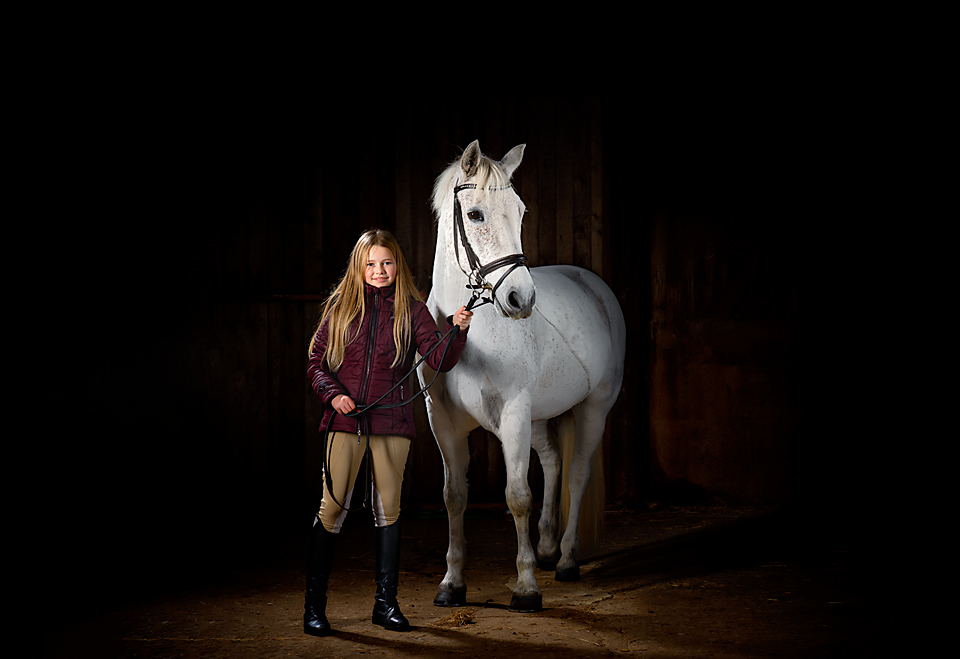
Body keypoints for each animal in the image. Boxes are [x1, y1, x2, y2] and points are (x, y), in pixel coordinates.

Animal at [416, 140, 626, 612]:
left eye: (521, 211)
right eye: (475, 214)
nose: (521, 298)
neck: (468, 332)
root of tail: (593, 284)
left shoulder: (513, 414)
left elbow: (517, 497)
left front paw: (526, 588)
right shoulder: (444, 422)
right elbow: (454, 496)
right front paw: (451, 584)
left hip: (594, 408)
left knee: (577, 472)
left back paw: (565, 560)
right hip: (542, 415)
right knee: (552, 460)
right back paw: (547, 548)